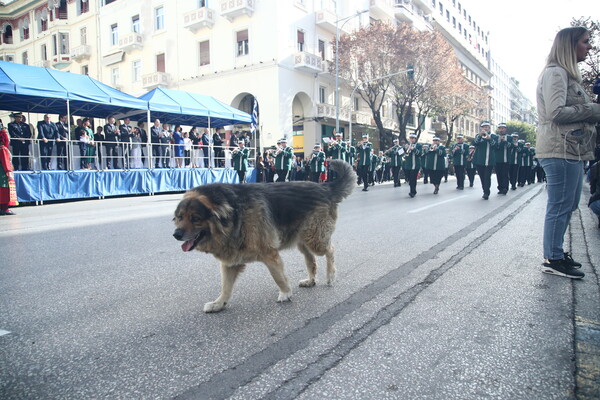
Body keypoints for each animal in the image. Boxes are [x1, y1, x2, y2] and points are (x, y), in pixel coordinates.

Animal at [171, 160, 354, 312]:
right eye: (180, 217)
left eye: (195, 218)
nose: (176, 234)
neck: (233, 214)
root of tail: (325, 187)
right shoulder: (230, 262)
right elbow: (225, 287)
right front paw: (219, 303)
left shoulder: (269, 253)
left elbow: (278, 276)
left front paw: (285, 293)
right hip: (303, 242)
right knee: (311, 260)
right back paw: (310, 280)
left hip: (316, 240)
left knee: (330, 250)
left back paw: (330, 275)